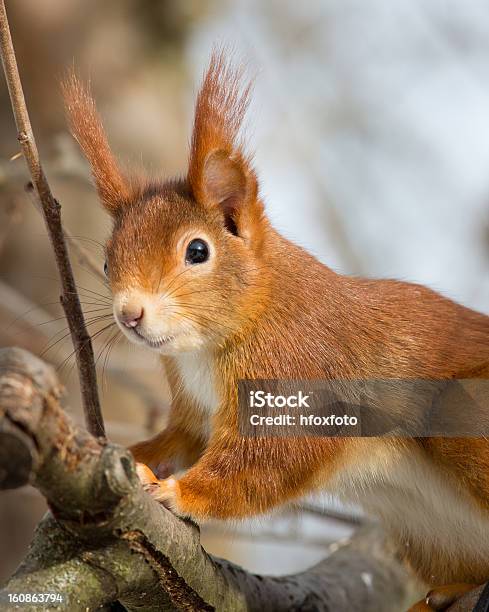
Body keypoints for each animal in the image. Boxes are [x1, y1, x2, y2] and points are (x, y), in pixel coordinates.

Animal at [65, 51, 489, 608]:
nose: (129, 314)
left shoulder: (293, 375)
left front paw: (175, 491)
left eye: (197, 250)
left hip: (466, 421)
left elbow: (269, 458)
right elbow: (181, 440)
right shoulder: (194, 409)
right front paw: (132, 458)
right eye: (108, 260)